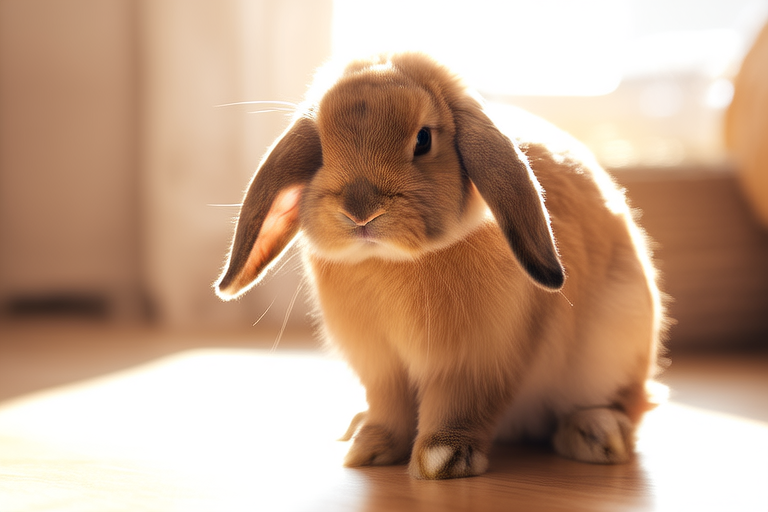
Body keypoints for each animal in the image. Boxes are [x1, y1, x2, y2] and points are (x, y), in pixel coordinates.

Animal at [215, 53, 666, 480]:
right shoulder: (382, 367)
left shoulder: (475, 362)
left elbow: (457, 407)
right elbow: (389, 408)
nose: (360, 211)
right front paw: (369, 448)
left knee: (623, 403)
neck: (390, 260)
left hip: (615, 344)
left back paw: (597, 435)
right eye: (322, 148)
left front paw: (443, 459)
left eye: (423, 140)